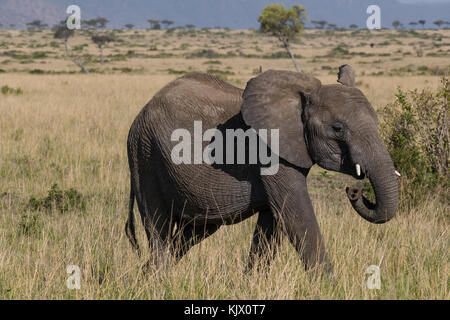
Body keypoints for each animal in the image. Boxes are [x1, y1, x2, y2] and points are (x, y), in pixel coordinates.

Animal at [125, 65, 400, 272]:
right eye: (338, 129)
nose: (354, 191)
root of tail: (141, 112)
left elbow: (272, 223)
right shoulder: (272, 154)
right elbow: (297, 216)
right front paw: (329, 287)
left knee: (190, 234)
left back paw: (148, 275)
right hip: (145, 154)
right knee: (158, 228)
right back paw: (158, 280)